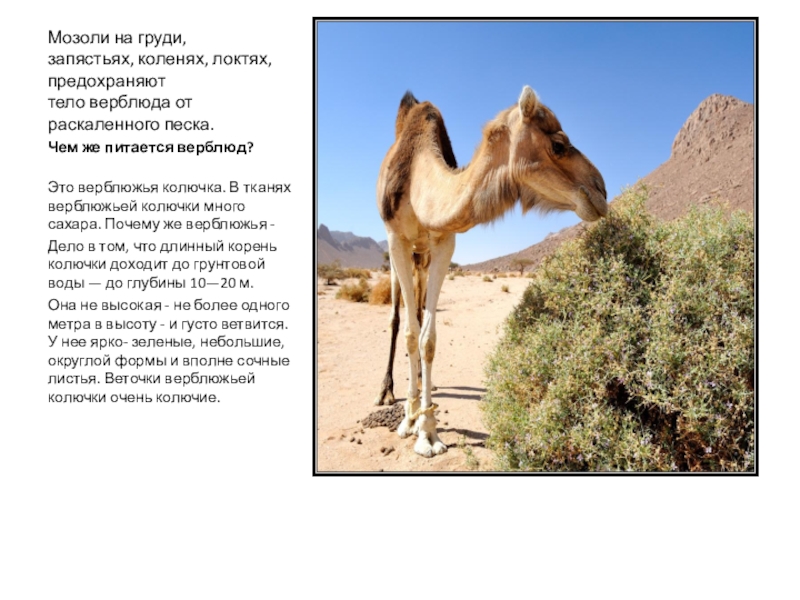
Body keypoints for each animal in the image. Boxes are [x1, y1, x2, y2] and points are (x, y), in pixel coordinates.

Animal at [376, 86, 607, 457]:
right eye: (558, 144)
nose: (600, 190)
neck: (416, 179)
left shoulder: (443, 241)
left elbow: (428, 339)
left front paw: (428, 431)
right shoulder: (396, 237)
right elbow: (411, 333)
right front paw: (412, 423)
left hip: (421, 255)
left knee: (421, 307)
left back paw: (427, 385)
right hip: (401, 249)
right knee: (398, 318)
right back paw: (387, 392)